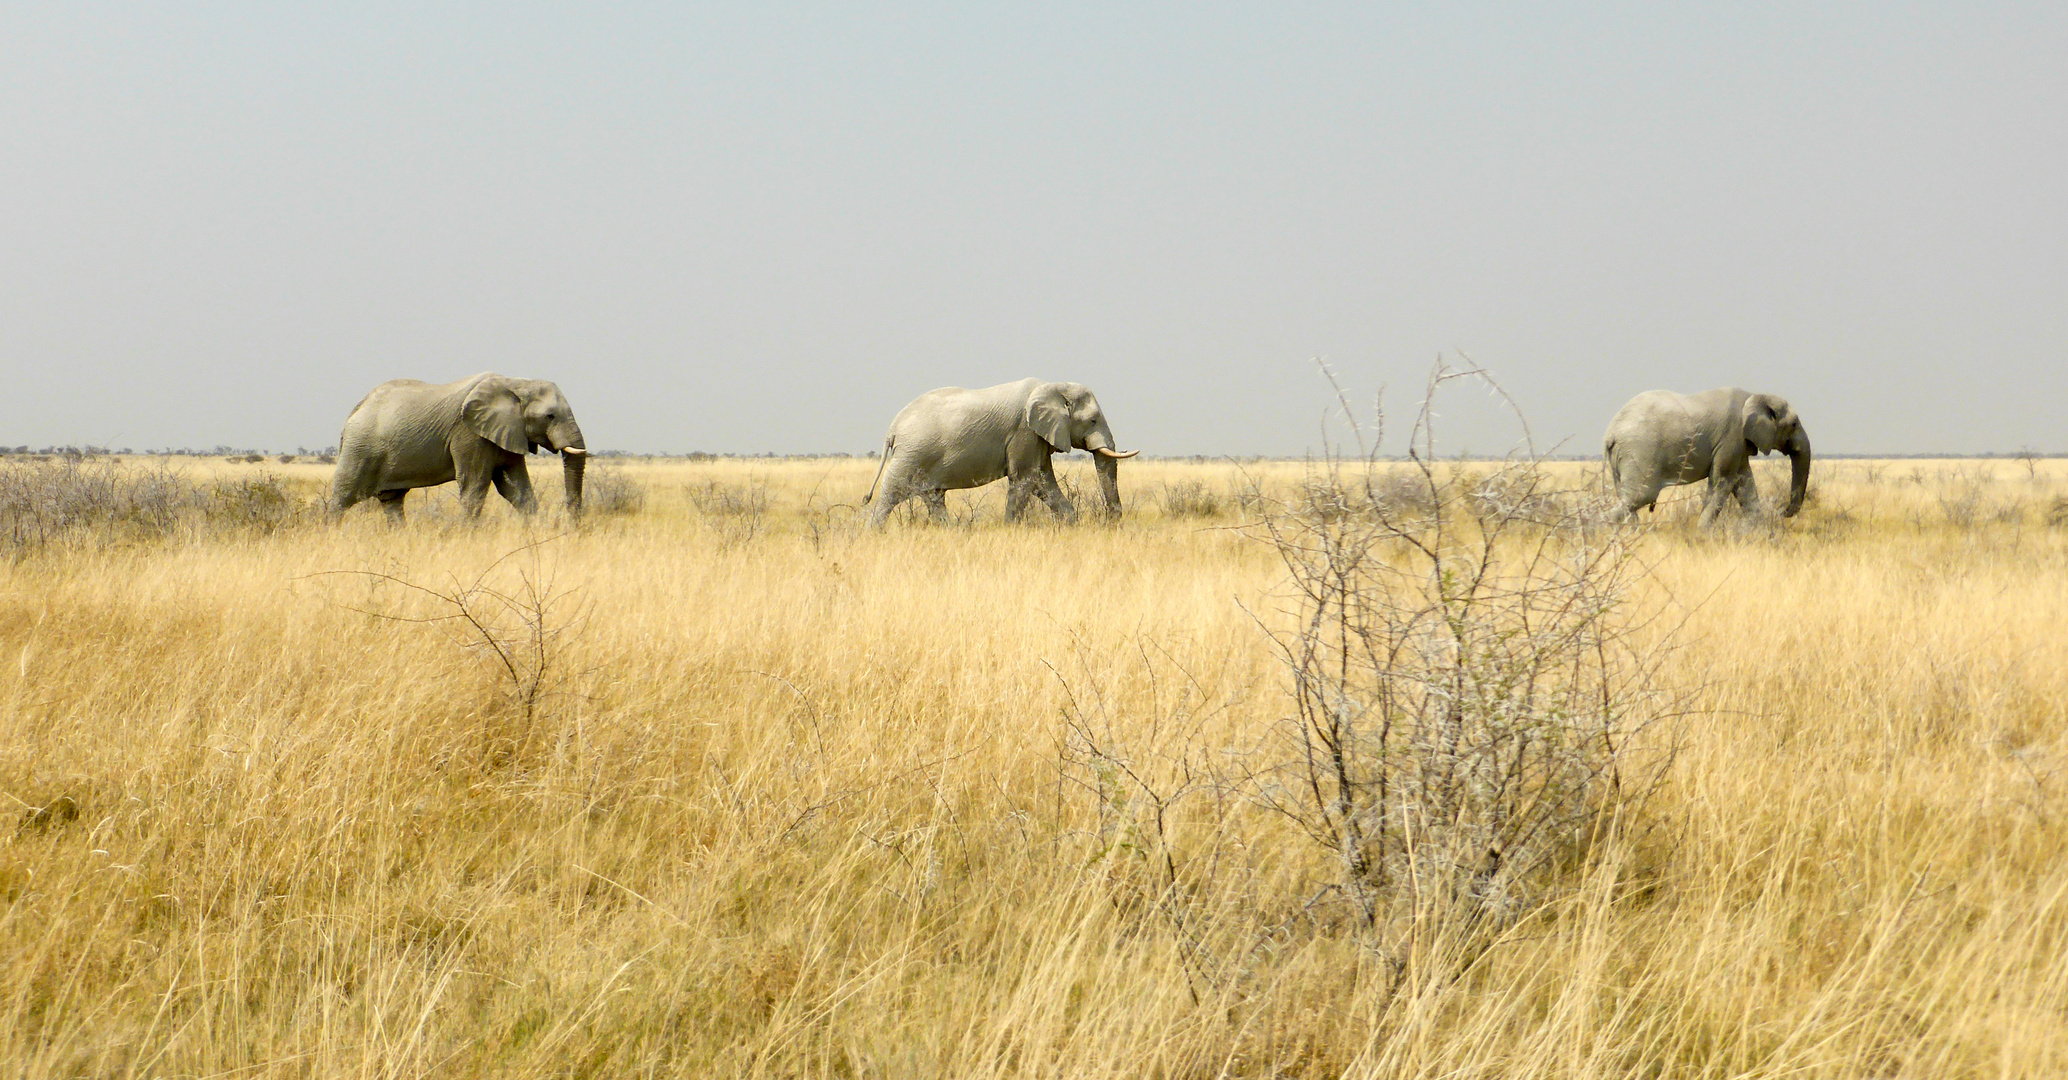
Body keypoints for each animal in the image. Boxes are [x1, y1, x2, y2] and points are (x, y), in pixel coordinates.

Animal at [330, 370, 591, 521]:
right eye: (550, 416)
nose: (572, 525)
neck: (516, 383)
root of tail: (354, 412)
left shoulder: (508, 431)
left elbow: (518, 490)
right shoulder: (469, 433)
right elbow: (475, 486)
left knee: (392, 501)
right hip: (360, 448)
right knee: (342, 497)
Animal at [864, 378, 1141, 525]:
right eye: (1093, 421)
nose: (1111, 523)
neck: (1052, 385)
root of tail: (893, 427)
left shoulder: (1038, 436)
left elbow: (1043, 481)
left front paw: (1070, 524)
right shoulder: (1024, 431)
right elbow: (1025, 479)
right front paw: (1011, 529)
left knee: (933, 497)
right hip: (911, 454)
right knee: (892, 493)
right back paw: (874, 532)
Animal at [1596, 384, 1811, 523]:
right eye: (1794, 424)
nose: (1782, 511)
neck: (1754, 396)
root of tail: (1610, 433)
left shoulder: (1739, 444)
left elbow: (1744, 484)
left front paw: (1763, 535)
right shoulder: (1731, 436)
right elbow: (1722, 481)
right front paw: (1702, 534)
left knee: (1628, 498)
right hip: (1640, 450)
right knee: (1641, 495)